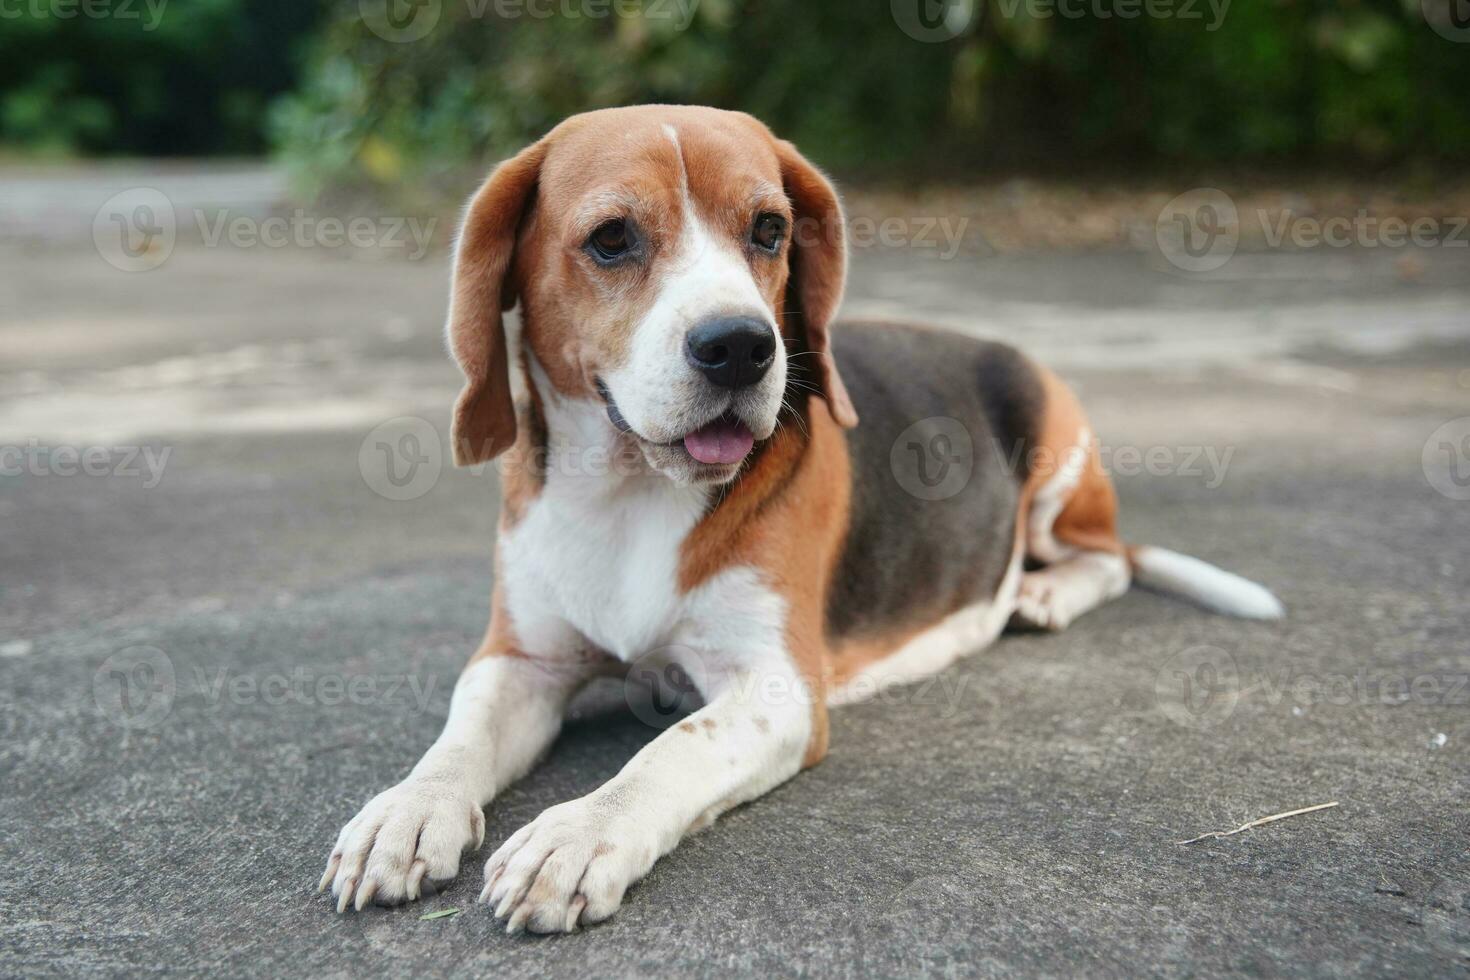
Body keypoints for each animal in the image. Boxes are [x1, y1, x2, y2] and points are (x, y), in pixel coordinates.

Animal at [316, 103, 1281, 934]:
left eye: (769, 230)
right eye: (612, 239)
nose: (741, 346)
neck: (632, 492)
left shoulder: (774, 692)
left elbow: (669, 751)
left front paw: (580, 833)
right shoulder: (520, 659)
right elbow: (459, 737)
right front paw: (406, 811)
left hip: (1054, 462)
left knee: (1106, 556)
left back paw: (1043, 596)